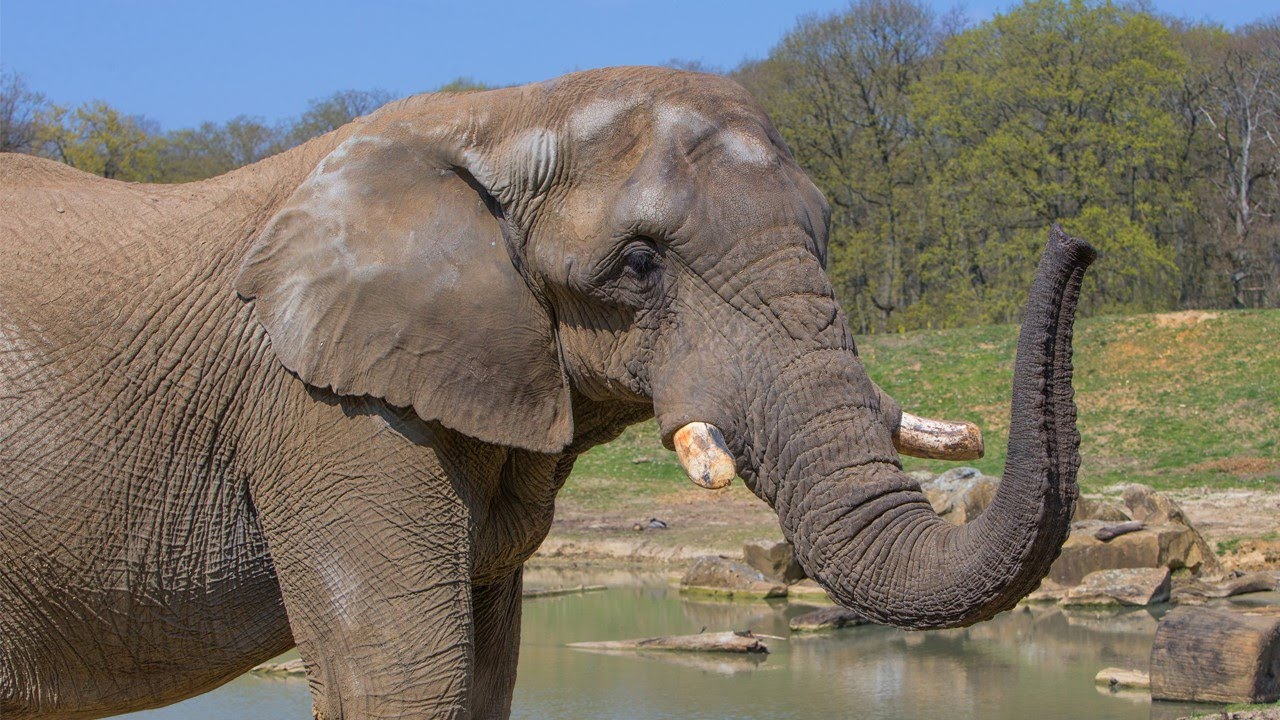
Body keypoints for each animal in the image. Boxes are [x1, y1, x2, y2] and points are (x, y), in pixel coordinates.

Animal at [0, 66, 1095, 719]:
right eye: (639, 262)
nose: (1074, 239)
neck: (511, 112)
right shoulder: (327, 415)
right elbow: (400, 683)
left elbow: (482, 681)